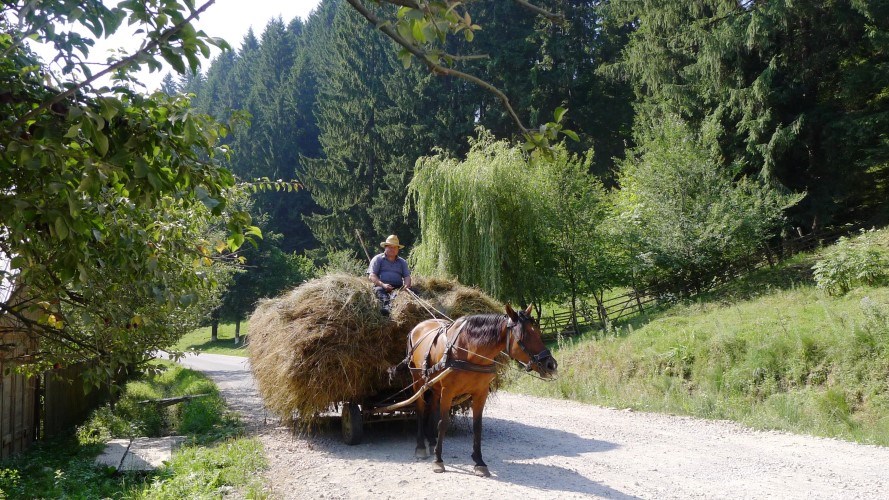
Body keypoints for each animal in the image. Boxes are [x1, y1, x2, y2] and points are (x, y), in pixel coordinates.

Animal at [404, 302, 556, 474]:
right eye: (525, 335)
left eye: (538, 332)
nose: (551, 365)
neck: (469, 350)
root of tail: (419, 326)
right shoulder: (448, 391)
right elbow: (443, 423)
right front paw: (438, 460)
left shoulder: (480, 393)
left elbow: (477, 426)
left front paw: (479, 461)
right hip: (418, 381)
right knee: (421, 409)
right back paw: (421, 447)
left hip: (435, 386)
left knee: (431, 409)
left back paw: (431, 442)